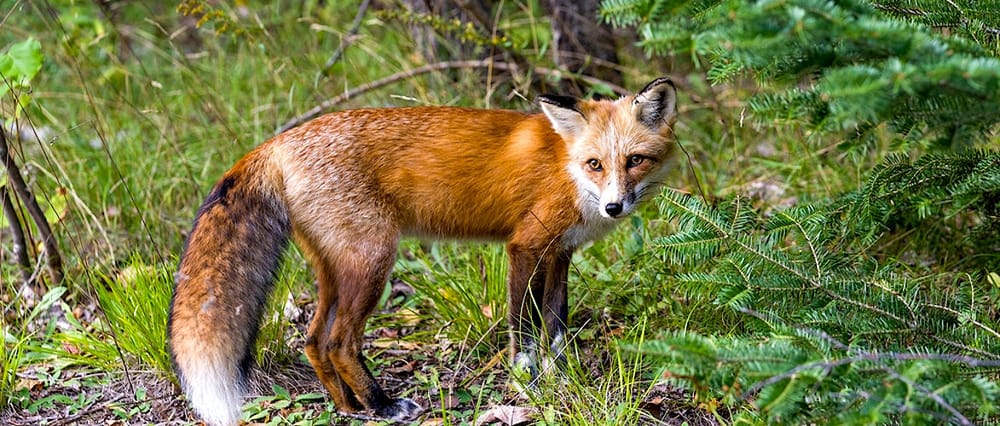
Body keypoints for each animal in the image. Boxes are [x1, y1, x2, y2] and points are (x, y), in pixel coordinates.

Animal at [168, 77, 676, 426]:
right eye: (596, 164)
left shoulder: (560, 253)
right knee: (338, 342)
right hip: (373, 263)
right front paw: (527, 382)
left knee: (313, 340)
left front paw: (562, 375)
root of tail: (280, 141)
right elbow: (524, 328)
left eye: (635, 160)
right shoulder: (526, 246)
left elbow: (555, 325)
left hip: (336, 271)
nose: (614, 207)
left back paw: (348, 406)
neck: (566, 168)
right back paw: (382, 405)